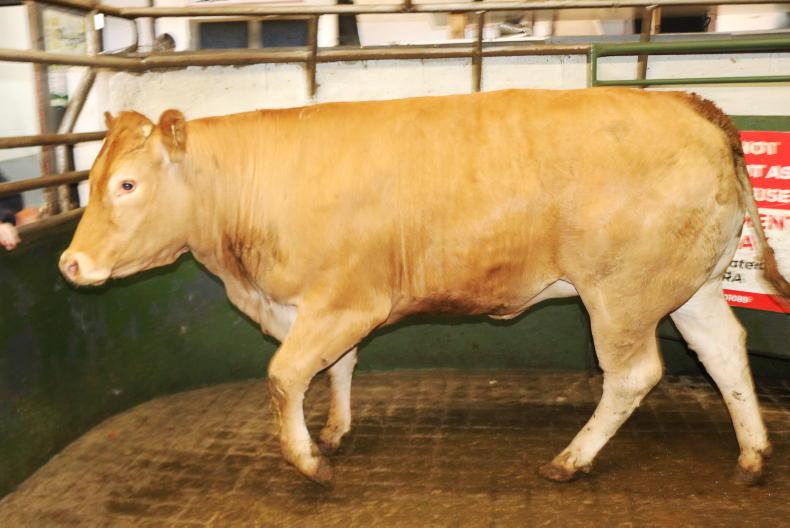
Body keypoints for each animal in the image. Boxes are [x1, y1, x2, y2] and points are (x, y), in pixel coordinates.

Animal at [59, 88, 789, 486]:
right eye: (90, 178)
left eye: (127, 184)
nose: (70, 264)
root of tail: (687, 104)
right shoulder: (322, 306)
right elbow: (337, 368)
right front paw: (335, 431)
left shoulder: (347, 300)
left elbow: (285, 375)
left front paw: (306, 460)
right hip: (691, 287)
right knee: (723, 350)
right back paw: (752, 455)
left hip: (621, 294)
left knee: (634, 374)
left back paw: (571, 458)